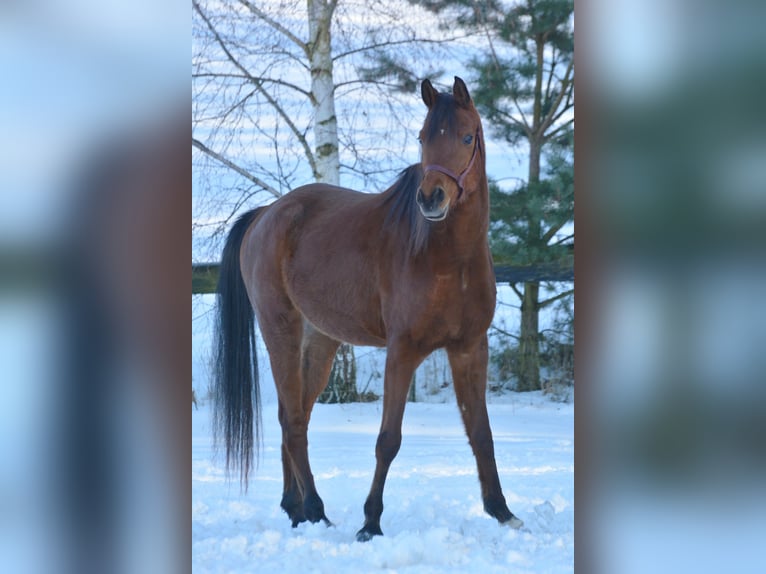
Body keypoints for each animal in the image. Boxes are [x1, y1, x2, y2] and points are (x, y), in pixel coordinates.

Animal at [212, 76, 524, 541]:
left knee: (296, 415)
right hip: (280, 331)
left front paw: (502, 511)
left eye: (467, 137)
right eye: (423, 137)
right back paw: (316, 510)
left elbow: (481, 433)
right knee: (293, 422)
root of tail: (267, 214)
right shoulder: (403, 351)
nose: (430, 198)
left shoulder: (470, 348)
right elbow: (388, 439)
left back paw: (295, 509)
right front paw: (371, 522)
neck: (447, 260)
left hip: (319, 342)